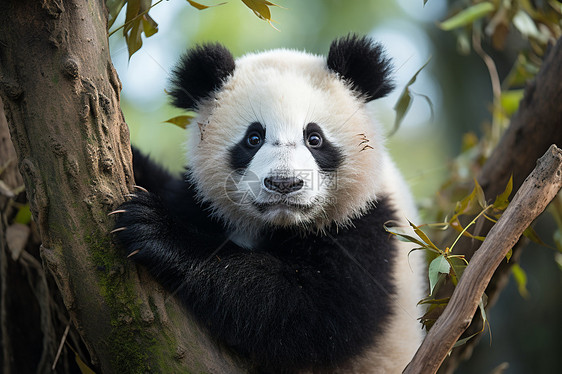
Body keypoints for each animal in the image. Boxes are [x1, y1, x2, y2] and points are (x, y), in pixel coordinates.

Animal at [114, 35, 424, 374]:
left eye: (314, 138)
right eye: (253, 138)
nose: (284, 184)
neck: (278, 224)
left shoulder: (370, 228)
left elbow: (306, 311)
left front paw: (157, 230)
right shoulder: (199, 201)